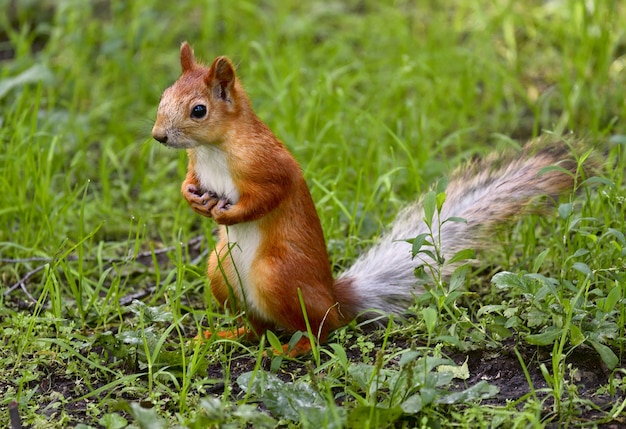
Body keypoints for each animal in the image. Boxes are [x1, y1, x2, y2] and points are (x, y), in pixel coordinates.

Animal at [151, 41, 580, 356]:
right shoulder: (198, 166)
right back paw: (226, 335)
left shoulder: (269, 164)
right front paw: (191, 197)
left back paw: (293, 348)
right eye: (163, 96)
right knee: (259, 328)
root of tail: (335, 299)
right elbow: (190, 181)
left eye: (199, 110)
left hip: (275, 277)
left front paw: (228, 215)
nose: (158, 136)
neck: (213, 149)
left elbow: (270, 194)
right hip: (220, 272)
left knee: (321, 331)